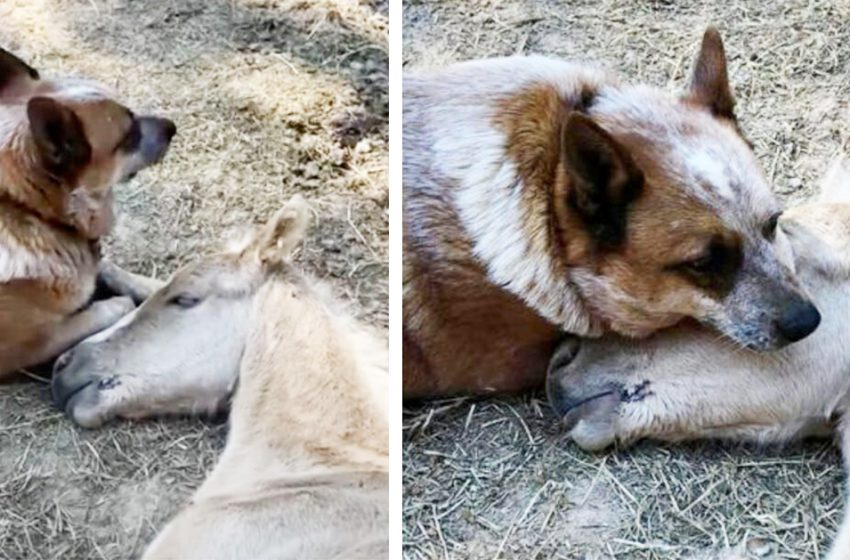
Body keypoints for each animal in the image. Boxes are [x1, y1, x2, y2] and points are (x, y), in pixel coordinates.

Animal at [0, 48, 175, 380]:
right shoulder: (26, 345)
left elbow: (110, 268)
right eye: (128, 135)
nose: (173, 126)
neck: (27, 207)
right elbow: (104, 309)